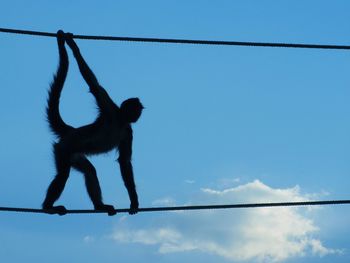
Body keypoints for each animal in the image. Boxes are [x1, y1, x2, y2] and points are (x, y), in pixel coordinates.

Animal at [43, 31, 143, 217]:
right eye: (137, 108)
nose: (140, 113)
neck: (120, 120)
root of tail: (71, 131)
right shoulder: (109, 107)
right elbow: (94, 85)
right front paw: (73, 46)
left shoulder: (128, 130)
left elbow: (125, 161)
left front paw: (134, 201)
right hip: (63, 148)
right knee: (63, 174)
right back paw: (47, 207)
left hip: (74, 155)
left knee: (90, 171)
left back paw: (99, 206)